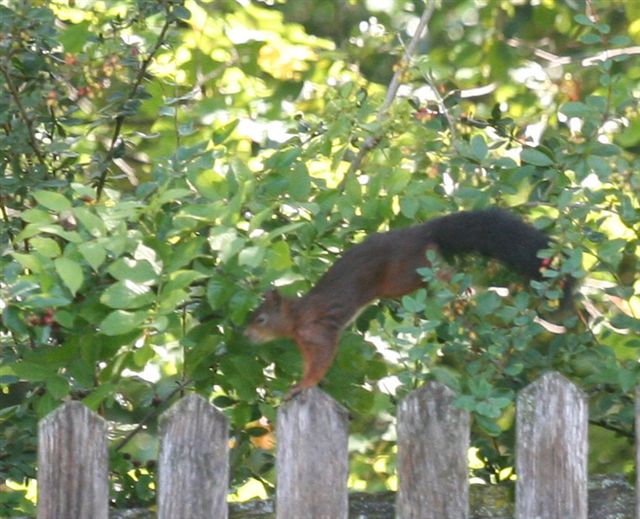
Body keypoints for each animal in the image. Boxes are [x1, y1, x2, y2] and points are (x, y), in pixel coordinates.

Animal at [244, 209, 568, 400]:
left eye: (260, 319)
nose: (244, 334)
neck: (296, 317)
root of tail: (420, 231)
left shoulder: (317, 331)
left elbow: (321, 360)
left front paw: (303, 385)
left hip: (405, 275)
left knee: (441, 270)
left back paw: (463, 285)